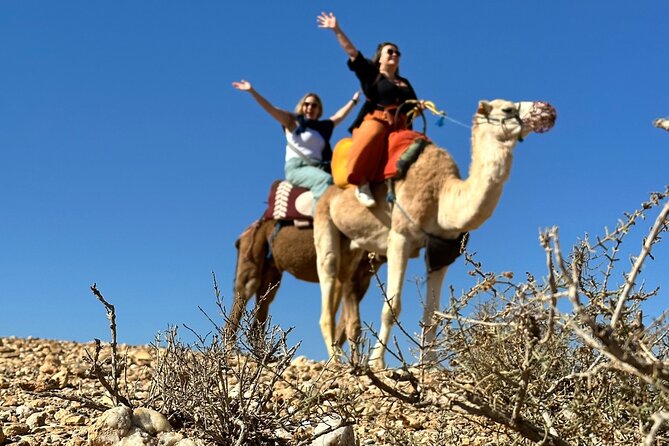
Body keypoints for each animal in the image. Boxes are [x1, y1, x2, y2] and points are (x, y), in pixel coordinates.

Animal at [314, 99, 557, 368]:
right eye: (507, 109)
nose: (547, 109)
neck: (442, 196)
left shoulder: (443, 253)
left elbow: (432, 313)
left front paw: (431, 363)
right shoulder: (400, 236)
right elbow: (392, 307)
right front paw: (377, 363)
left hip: (354, 245)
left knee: (344, 280)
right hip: (324, 220)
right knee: (328, 277)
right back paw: (335, 362)